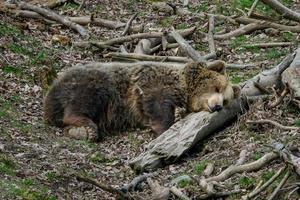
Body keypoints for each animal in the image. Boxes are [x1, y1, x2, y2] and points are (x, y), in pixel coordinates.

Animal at [42, 61, 239, 141]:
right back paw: (87, 125)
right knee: (85, 99)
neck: (184, 88)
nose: (217, 105)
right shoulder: (154, 84)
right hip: (94, 83)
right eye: (217, 87)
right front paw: (163, 129)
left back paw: (79, 131)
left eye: (226, 99)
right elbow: (157, 105)